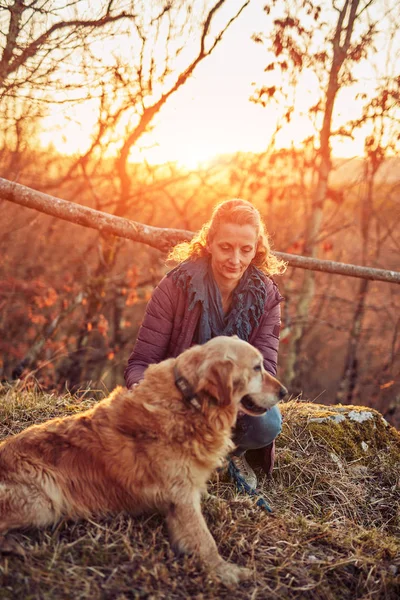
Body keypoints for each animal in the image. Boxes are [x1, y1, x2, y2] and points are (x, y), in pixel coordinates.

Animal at [0, 336, 288, 584]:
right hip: (42, 501)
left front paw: (237, 503)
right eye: (257, 368)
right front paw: (225, 570)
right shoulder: (180, 498)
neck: (190, 403)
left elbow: (210, 498)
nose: (284, 392)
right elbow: (203, 539)